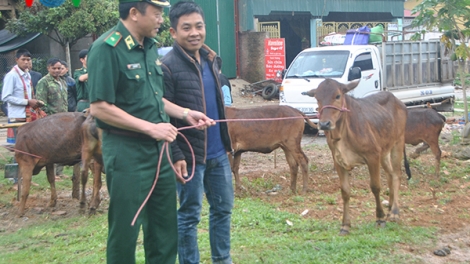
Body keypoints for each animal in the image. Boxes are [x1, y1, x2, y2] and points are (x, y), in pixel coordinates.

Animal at [302, 79, 410, 235]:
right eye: (317, 98)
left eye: (338, 96)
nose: (324, 124)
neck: (342, 133)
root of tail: (398, 101)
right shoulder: (338, 161)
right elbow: (345, 192)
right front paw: (345, 225)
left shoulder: (373, 156)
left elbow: (375, 187)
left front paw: (380, 218)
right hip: (384, 150)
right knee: (390, 174)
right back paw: (390, 207)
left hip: (398, 142)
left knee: (396, 174)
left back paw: (395, 211)